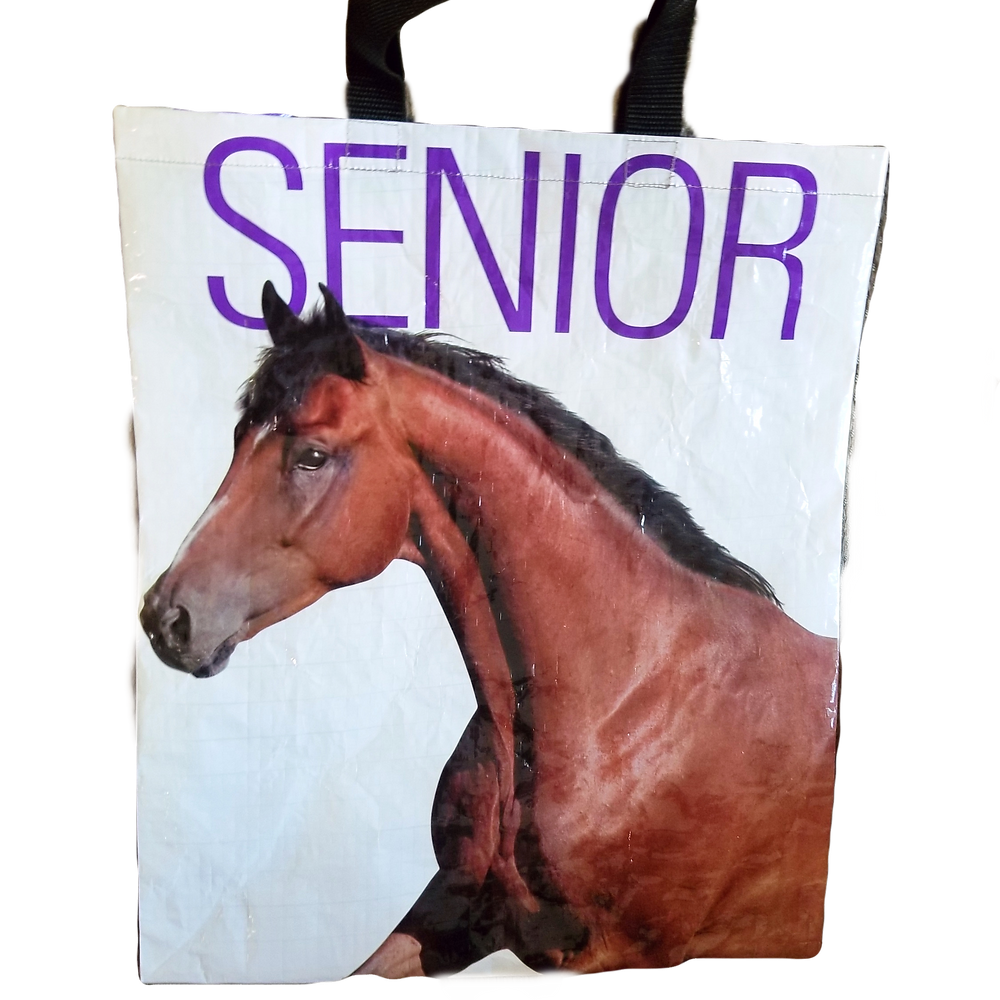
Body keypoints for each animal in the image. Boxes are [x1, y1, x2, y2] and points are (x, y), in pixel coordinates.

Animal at [141, 281, 839, 978]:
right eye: (239, 437)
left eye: (312, 455)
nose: (166, 617)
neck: (629, 700)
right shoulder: (454, 912)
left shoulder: (628, 954)